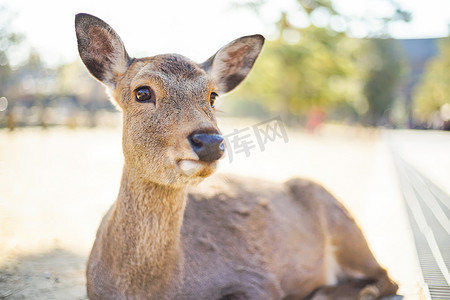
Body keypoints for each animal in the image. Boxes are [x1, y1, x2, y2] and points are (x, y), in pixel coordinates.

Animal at [75, 12, 400, 298]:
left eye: (213, 96)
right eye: (142, 92)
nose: (209, 141)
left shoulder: (259, 280)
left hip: (342, 222)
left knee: (387, 276)